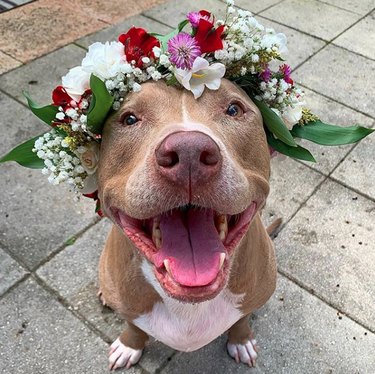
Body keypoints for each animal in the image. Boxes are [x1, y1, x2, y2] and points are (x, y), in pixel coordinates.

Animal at [97, 77, 280, 370]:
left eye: (233, 109)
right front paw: (129, 345)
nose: (189, 151)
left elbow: (242, 318)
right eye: (129, 119)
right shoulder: (128, 304)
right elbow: (133, 325)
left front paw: (241, 340)